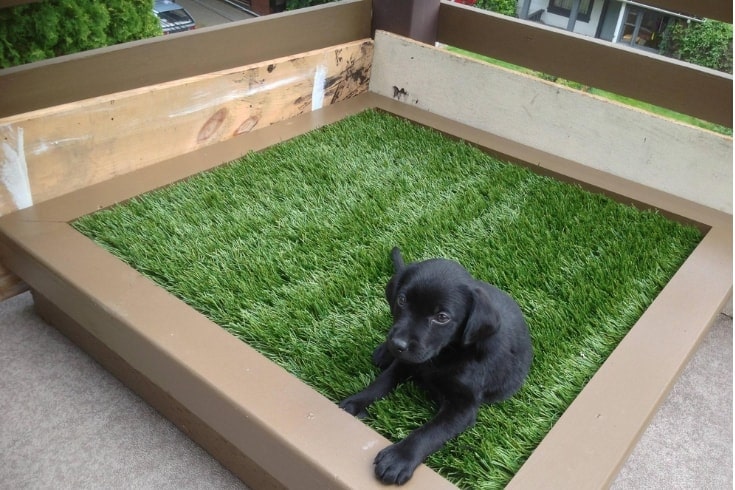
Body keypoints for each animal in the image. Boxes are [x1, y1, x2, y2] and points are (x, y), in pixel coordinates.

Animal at [340, 247, 536, 484]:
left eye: (442, 317)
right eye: (402, 300)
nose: (397, 344)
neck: (443, 356)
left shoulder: (463, 406)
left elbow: (432, 431)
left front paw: (399, 458)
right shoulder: (407, 362)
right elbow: (381, 382)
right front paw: (354, 403)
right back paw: (383, 352)